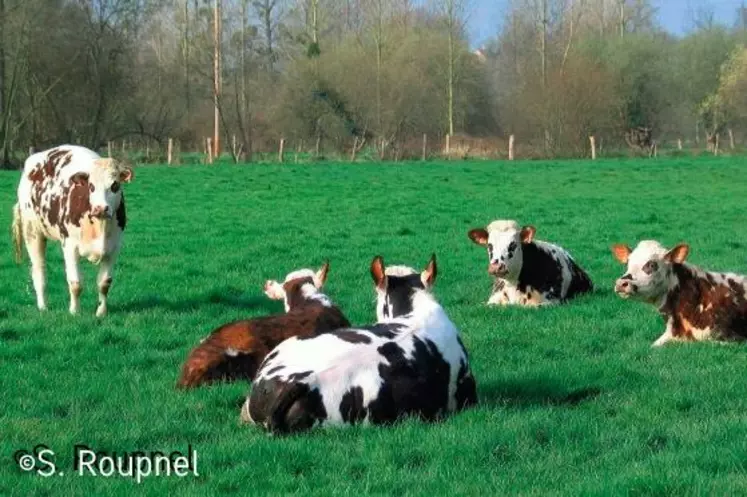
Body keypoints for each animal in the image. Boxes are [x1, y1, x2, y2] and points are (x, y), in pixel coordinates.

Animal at [11, 144, 133, 314]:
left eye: (115, 185)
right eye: (91, 186)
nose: (100, 209)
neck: (99, 226)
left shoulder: (114, 248)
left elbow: (104, 283)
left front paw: (101, 313)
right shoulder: (69, 246)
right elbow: (75, 283)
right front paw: (74, 312)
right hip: (32, 231)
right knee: (39, 270)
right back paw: (43, 306)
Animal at [468, 219, 596, 304]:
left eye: (513, 244)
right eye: (489, 245)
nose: (496, 267)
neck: (512, 284)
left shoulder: (547, 301)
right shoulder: (493, 301)